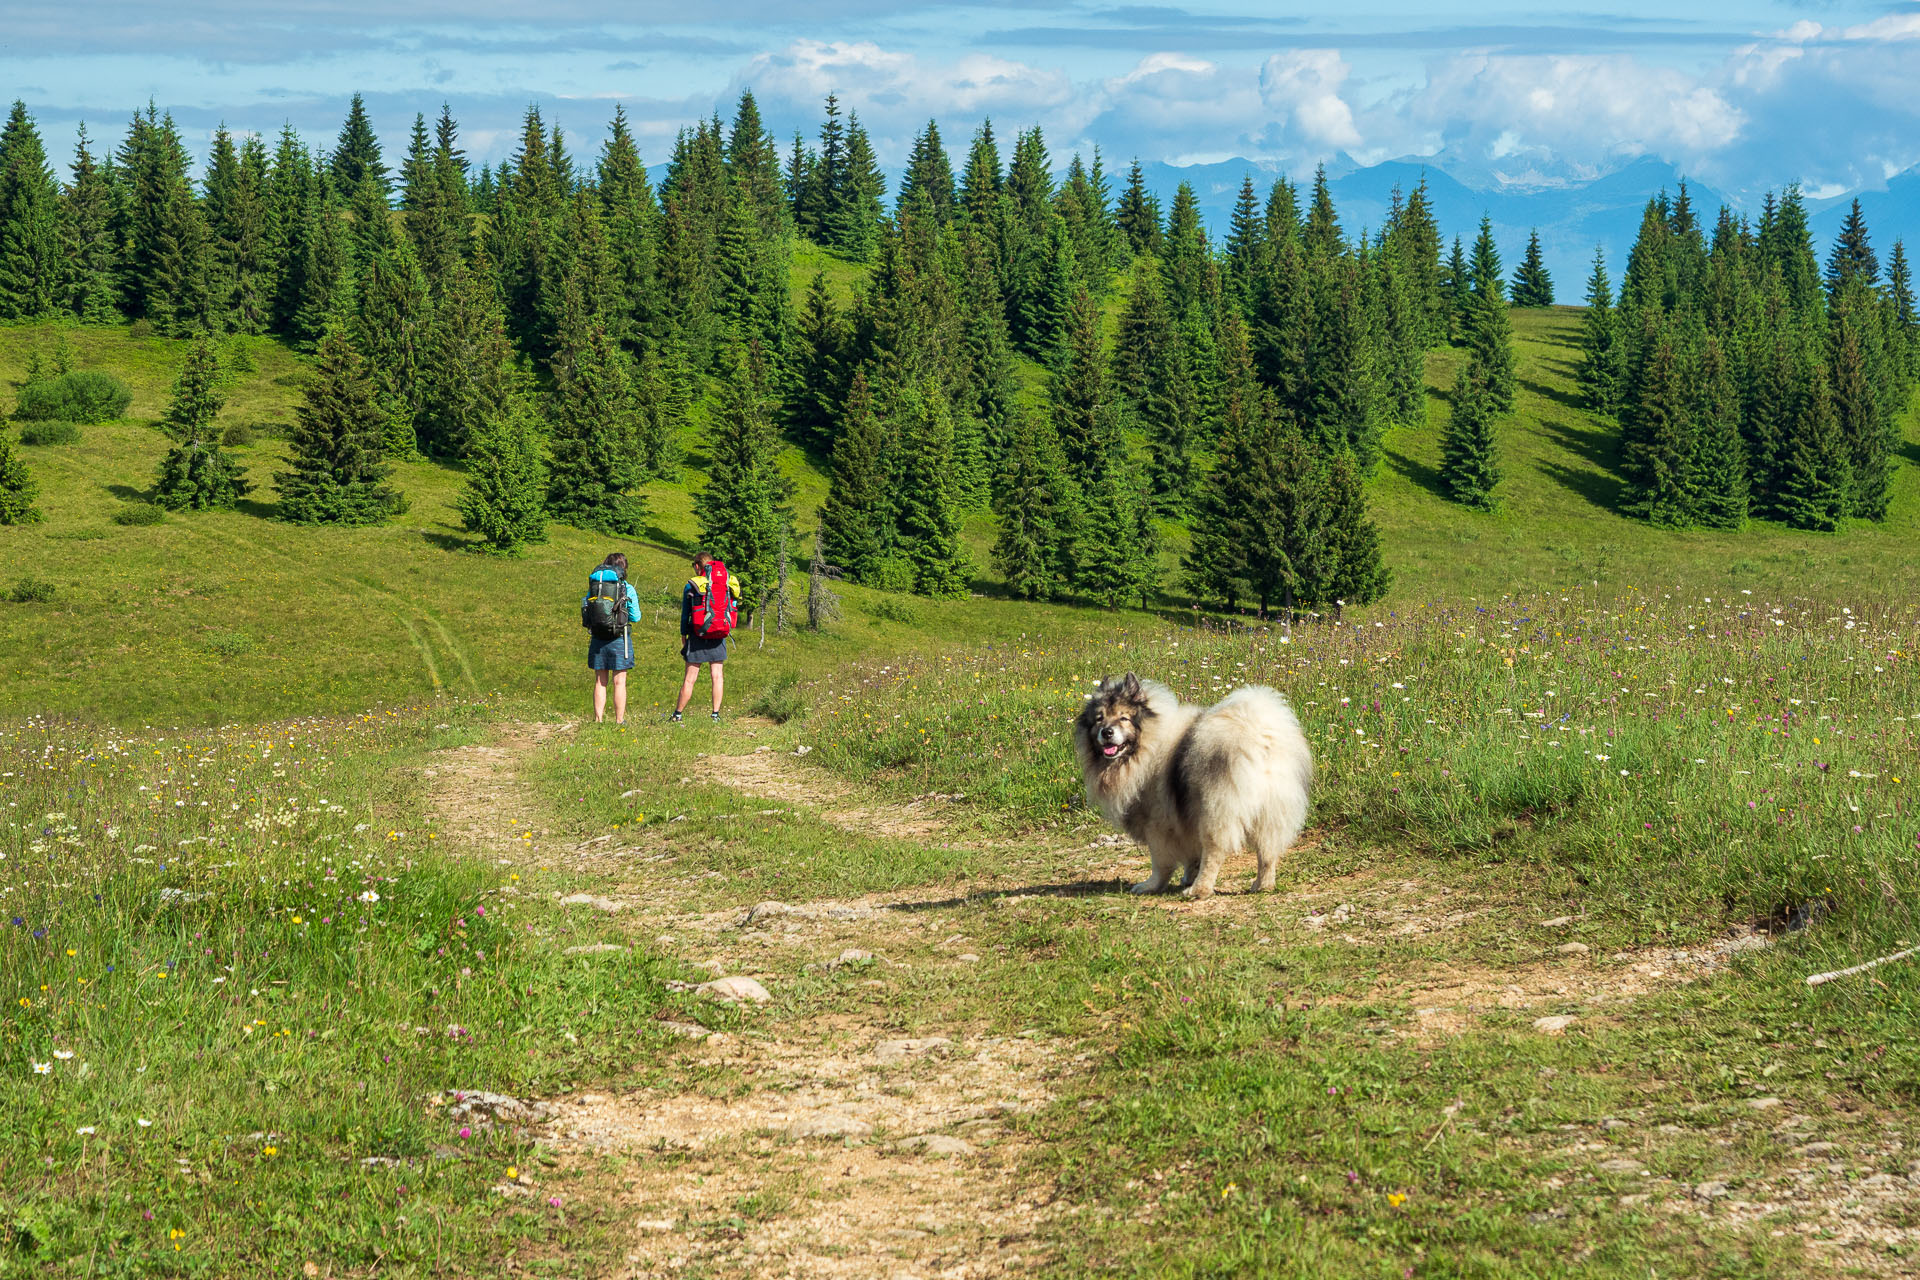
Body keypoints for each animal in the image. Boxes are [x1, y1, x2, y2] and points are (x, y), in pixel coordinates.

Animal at [1075, 671, 1313, 901]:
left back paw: (1199, 890)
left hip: (1217, 811)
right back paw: (1262, 885)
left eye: (1124, 718)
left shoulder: (1158, 824)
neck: (1148, 743)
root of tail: (1259, 737)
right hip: (1271, 812)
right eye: (1099, 719)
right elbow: (1191, 855)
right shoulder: (1184, 819)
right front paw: (1187, 876)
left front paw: (1151, 885)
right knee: (1268, 853)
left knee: (1214, 853)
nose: (1106, 732)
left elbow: (1160, 863)